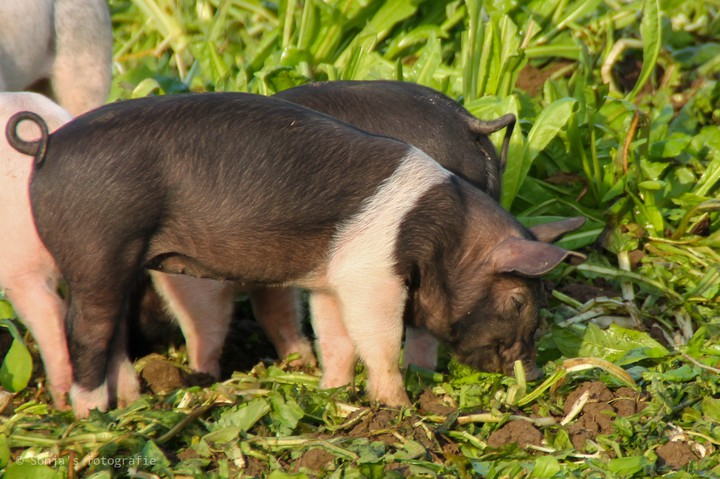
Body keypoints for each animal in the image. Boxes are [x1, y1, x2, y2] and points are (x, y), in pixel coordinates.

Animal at [7, 92, 583, 417]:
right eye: (518, 301)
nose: (535, 373)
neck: (448, 235)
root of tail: (46, 146)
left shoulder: (330, 277)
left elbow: (334, 337)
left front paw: (331, 391)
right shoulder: (370, 276)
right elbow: (376, 340)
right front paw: (398, 408)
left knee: (109, 335)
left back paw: (130, 405)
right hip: (96, 249)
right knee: (87, 330)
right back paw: (93, 417)